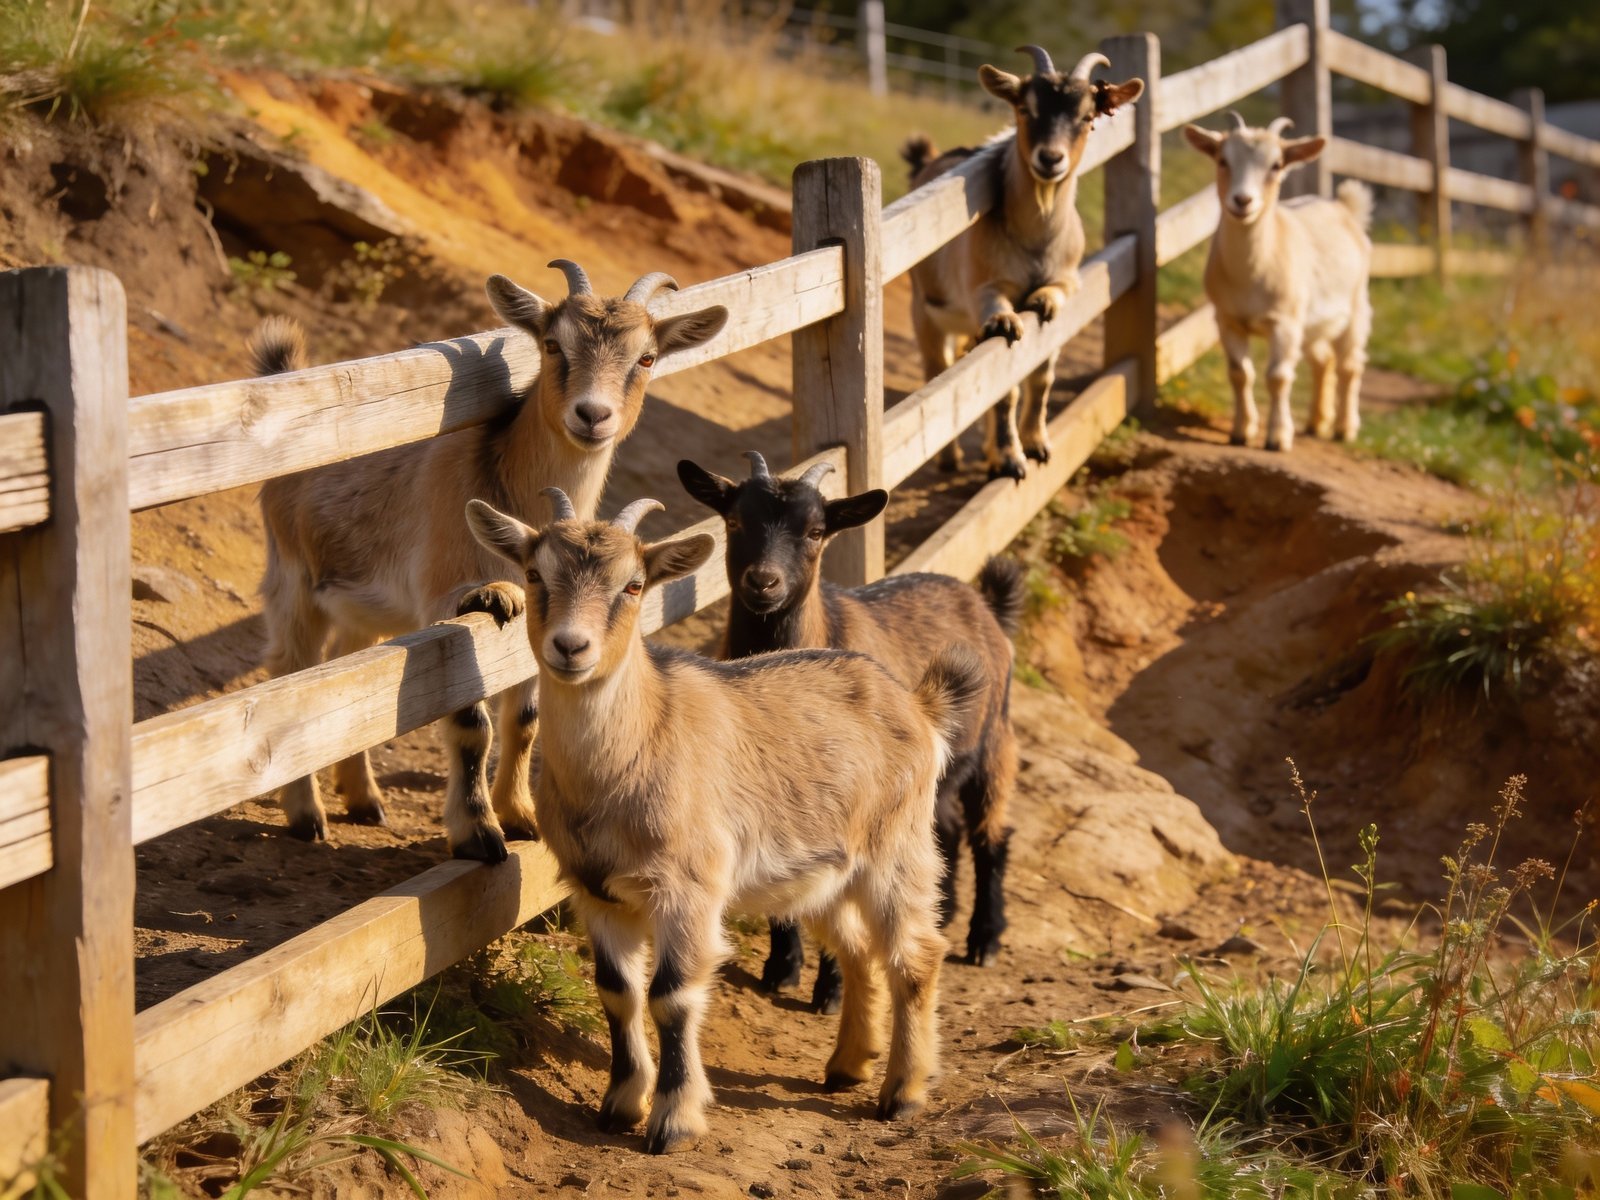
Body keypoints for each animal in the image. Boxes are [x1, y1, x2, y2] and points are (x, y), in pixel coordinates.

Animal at [250, 262, 728, 860]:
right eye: (552, 344)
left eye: (646, 357)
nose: (592, 416)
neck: (503, 479)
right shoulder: (445, 603)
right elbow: (472, 722)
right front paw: (478, 832)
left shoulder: (545, 623)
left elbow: (524, 718)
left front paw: (520, 815)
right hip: (293, 577)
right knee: (289, 669)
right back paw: (305, 814)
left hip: (365, 607)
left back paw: (363, 799)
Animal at [461, 487, 983, 1152]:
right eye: (533, 573)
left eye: (634, 584)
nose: (571, 647)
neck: (637, 744)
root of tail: (917, 705)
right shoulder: (597, 891)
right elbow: (617, 992)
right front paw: (620, 1104)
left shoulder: (688, 887)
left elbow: (671, 995)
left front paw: (673, 1120)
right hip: (825, 871)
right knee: (858, 948)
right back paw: (847, 1066)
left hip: (898, 846)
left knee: (915, 954)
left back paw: (903, 1093)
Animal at [678, 451, 1023, 1013]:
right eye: (734, 522)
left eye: (816, 531)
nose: (764, 582)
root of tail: (984, 603)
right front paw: (782, 968)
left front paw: (831, 990)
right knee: (944, 826)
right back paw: (942, 910)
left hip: (994, 738)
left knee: (991, 834)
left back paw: (985, 938)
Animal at [903, 46, 1144, 480]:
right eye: (1024, 109)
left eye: (1087, 117)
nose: (1050, 159)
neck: (1036, 241)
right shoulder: (985, 289)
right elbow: (1005, 384)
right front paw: (1011, 458)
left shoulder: (1067, 279)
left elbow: (1042, 375)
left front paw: (1036, 445)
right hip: (925, 309)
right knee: (936, 365)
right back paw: (951, 458)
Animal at [1184, 113, 1373, 452]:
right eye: (1222, 160)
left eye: (1276, 165)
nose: (1242, 200)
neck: (1251, 275)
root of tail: (1344, 207)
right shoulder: (1227, 319)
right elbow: (1239, 373)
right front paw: (1241, 432)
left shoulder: (1285, 321)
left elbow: (1278, 376)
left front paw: (1277, 437)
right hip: (1311, 323)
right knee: (1322, 361)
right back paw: (1316, 422)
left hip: (1355, 306)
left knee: (1350, 365)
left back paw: (1344, 428)